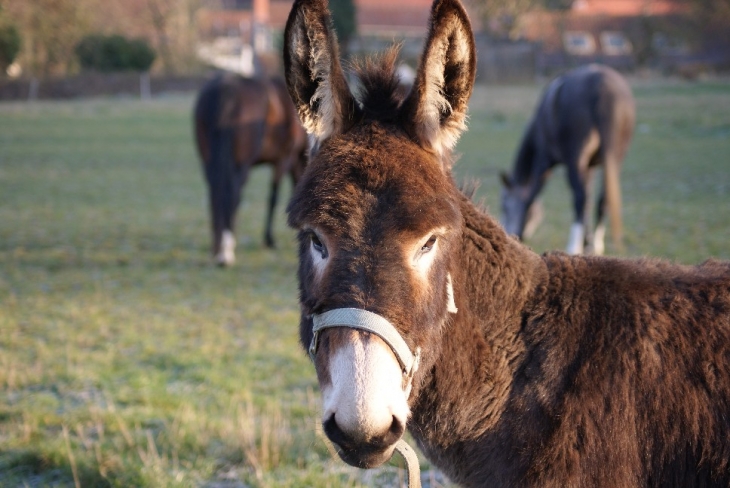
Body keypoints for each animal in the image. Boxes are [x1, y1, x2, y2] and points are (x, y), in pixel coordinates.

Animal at [192, 71, 306, 266]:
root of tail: (227, 90)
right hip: (241, 165)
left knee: (216, 193)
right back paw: (226, 250)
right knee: (233, 193)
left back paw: (217, 248)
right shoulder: (284, 159)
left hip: (209, 160)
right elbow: (273, 197)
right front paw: (269, 240)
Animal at [498, 63, 636, 255]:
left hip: (574, 160)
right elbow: (589, 200)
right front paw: (588, 241)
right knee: (602, 199)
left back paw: (573, 247)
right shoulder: (590, 167)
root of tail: (602, 87)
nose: (508, 233)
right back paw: (595, 246)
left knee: (579, 197)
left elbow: (532, 195)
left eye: (504, 205)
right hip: (614, 159)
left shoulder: (544, 163)